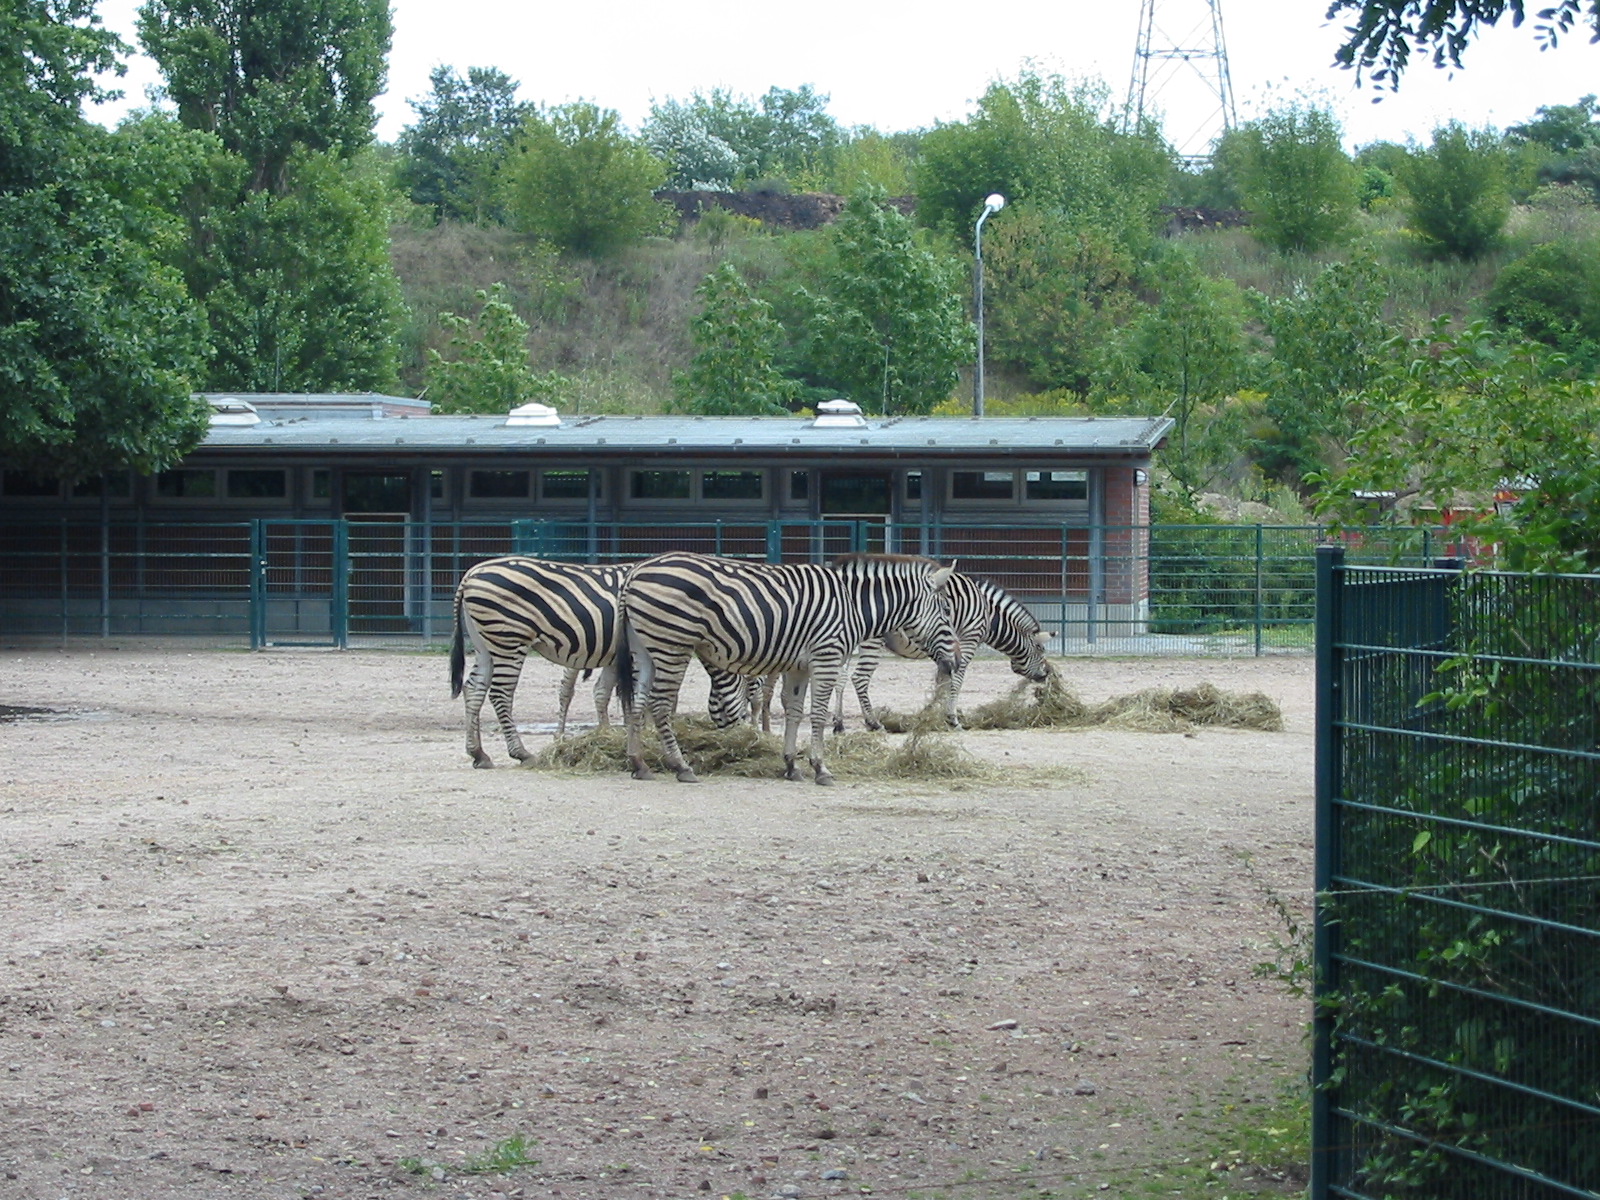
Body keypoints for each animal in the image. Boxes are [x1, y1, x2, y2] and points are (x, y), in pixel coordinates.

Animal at [616, 552, 958, 786]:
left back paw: (639, 763)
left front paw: (792, 765)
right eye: (945, 610)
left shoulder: (799, 666)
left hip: (645, 647)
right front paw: (821, 768)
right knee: (660, 704)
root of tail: (636, 570)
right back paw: (681, 766)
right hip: (672, 644)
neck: (852, 605)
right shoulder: (826, 656)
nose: (955, 657)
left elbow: (795, 712)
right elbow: (817, 714)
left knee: (638, 703)